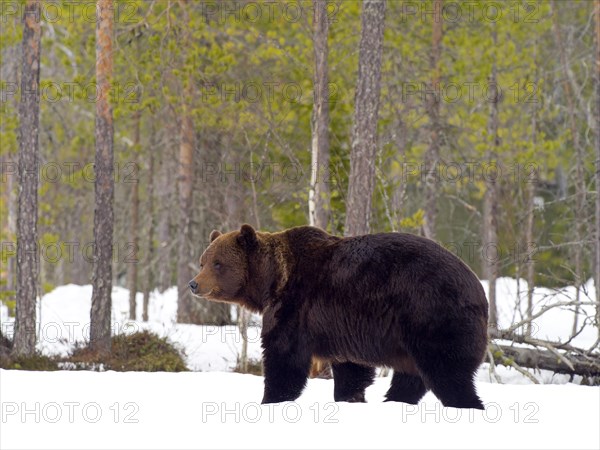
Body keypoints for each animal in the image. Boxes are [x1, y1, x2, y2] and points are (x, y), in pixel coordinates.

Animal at [190, 224, 490, 408]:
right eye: (203, 261)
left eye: (218, 263)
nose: (194, 283)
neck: (271, 282)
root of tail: (479, 288)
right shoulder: (341, 326)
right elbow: (351, 369)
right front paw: (351, 396)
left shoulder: (296, 307)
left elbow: (284, 358)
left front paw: (270, 399)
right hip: (409, 337)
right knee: (410, 376)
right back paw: (393, 401)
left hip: (431, 314)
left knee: (448, 373)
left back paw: (464, 404)